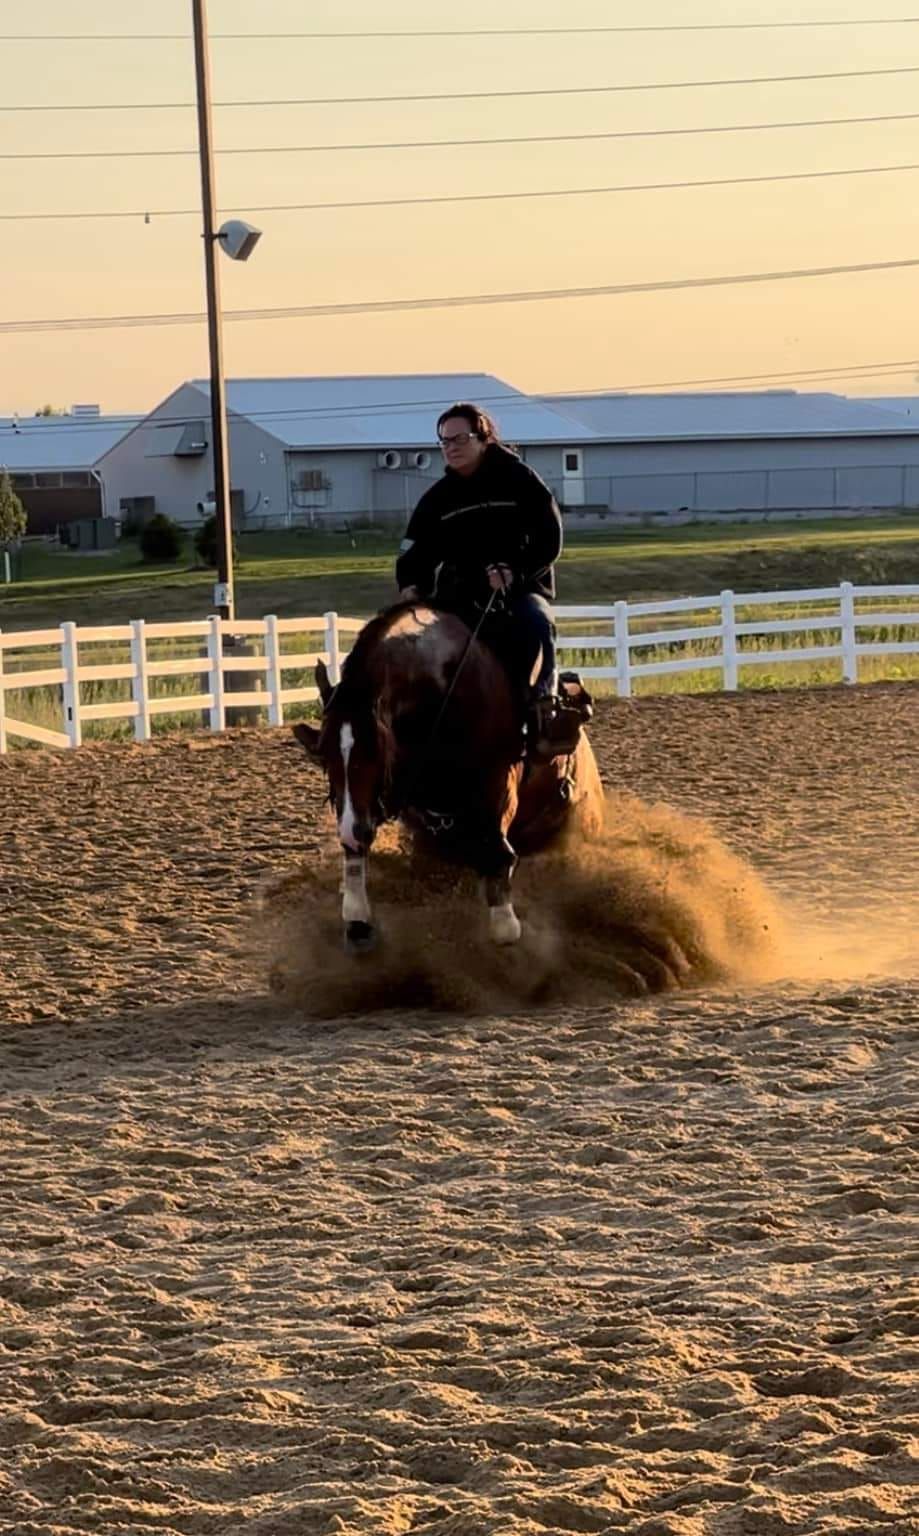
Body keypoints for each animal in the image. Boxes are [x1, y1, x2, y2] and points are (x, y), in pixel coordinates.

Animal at [290, 599, 605, 946]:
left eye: (375, 754)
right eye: (325, 756)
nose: (350, 833)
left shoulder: (497, 788)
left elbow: (499, 867)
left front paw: (506, 926)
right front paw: (356, 914)